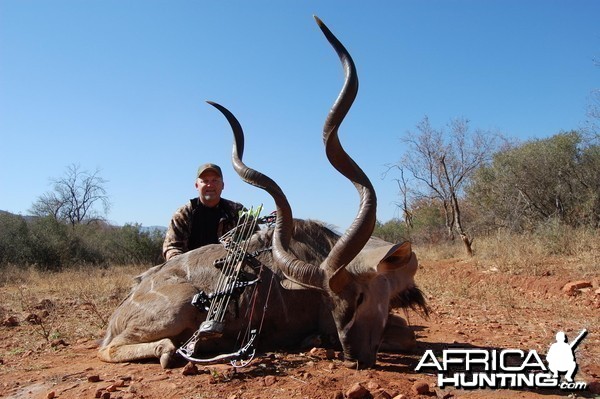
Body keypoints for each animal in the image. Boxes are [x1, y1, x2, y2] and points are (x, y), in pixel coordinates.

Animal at [98, 16, 426, 372]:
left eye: (361, 297)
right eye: (332, 302)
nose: (355, 359)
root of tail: (118, 315)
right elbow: (408, 336)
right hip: (180, 307)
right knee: (110, 350)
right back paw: (169, 351)